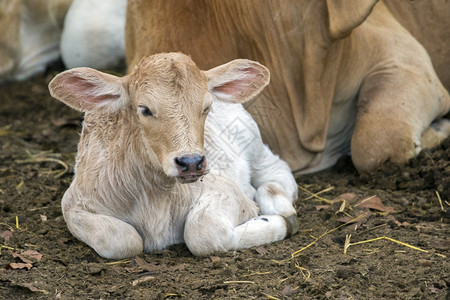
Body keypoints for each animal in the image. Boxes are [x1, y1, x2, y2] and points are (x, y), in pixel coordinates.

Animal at [48, 52, 298, 258]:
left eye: (206, 107)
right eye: (145, 109)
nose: (191, 162)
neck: (153, 196)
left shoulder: (226, 189)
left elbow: (202, 231)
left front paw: (273, 221)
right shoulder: (73, 203)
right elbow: (123, 241)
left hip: (254, 143)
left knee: (276, 170)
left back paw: (281, 208)